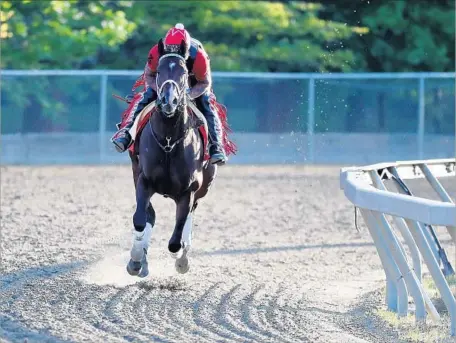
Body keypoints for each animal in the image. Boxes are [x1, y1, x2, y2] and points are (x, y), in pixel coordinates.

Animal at [124, 39, 217, 276]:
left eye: (184, 72)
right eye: (159, 71)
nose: (168, 101)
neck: (168, 141)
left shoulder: (188, 191)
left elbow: (175, 240)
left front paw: (180, 257)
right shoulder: (144, 180)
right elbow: (140, 220)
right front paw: (136, 259)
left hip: (204, 186)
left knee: (189, 218)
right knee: (149, 215)